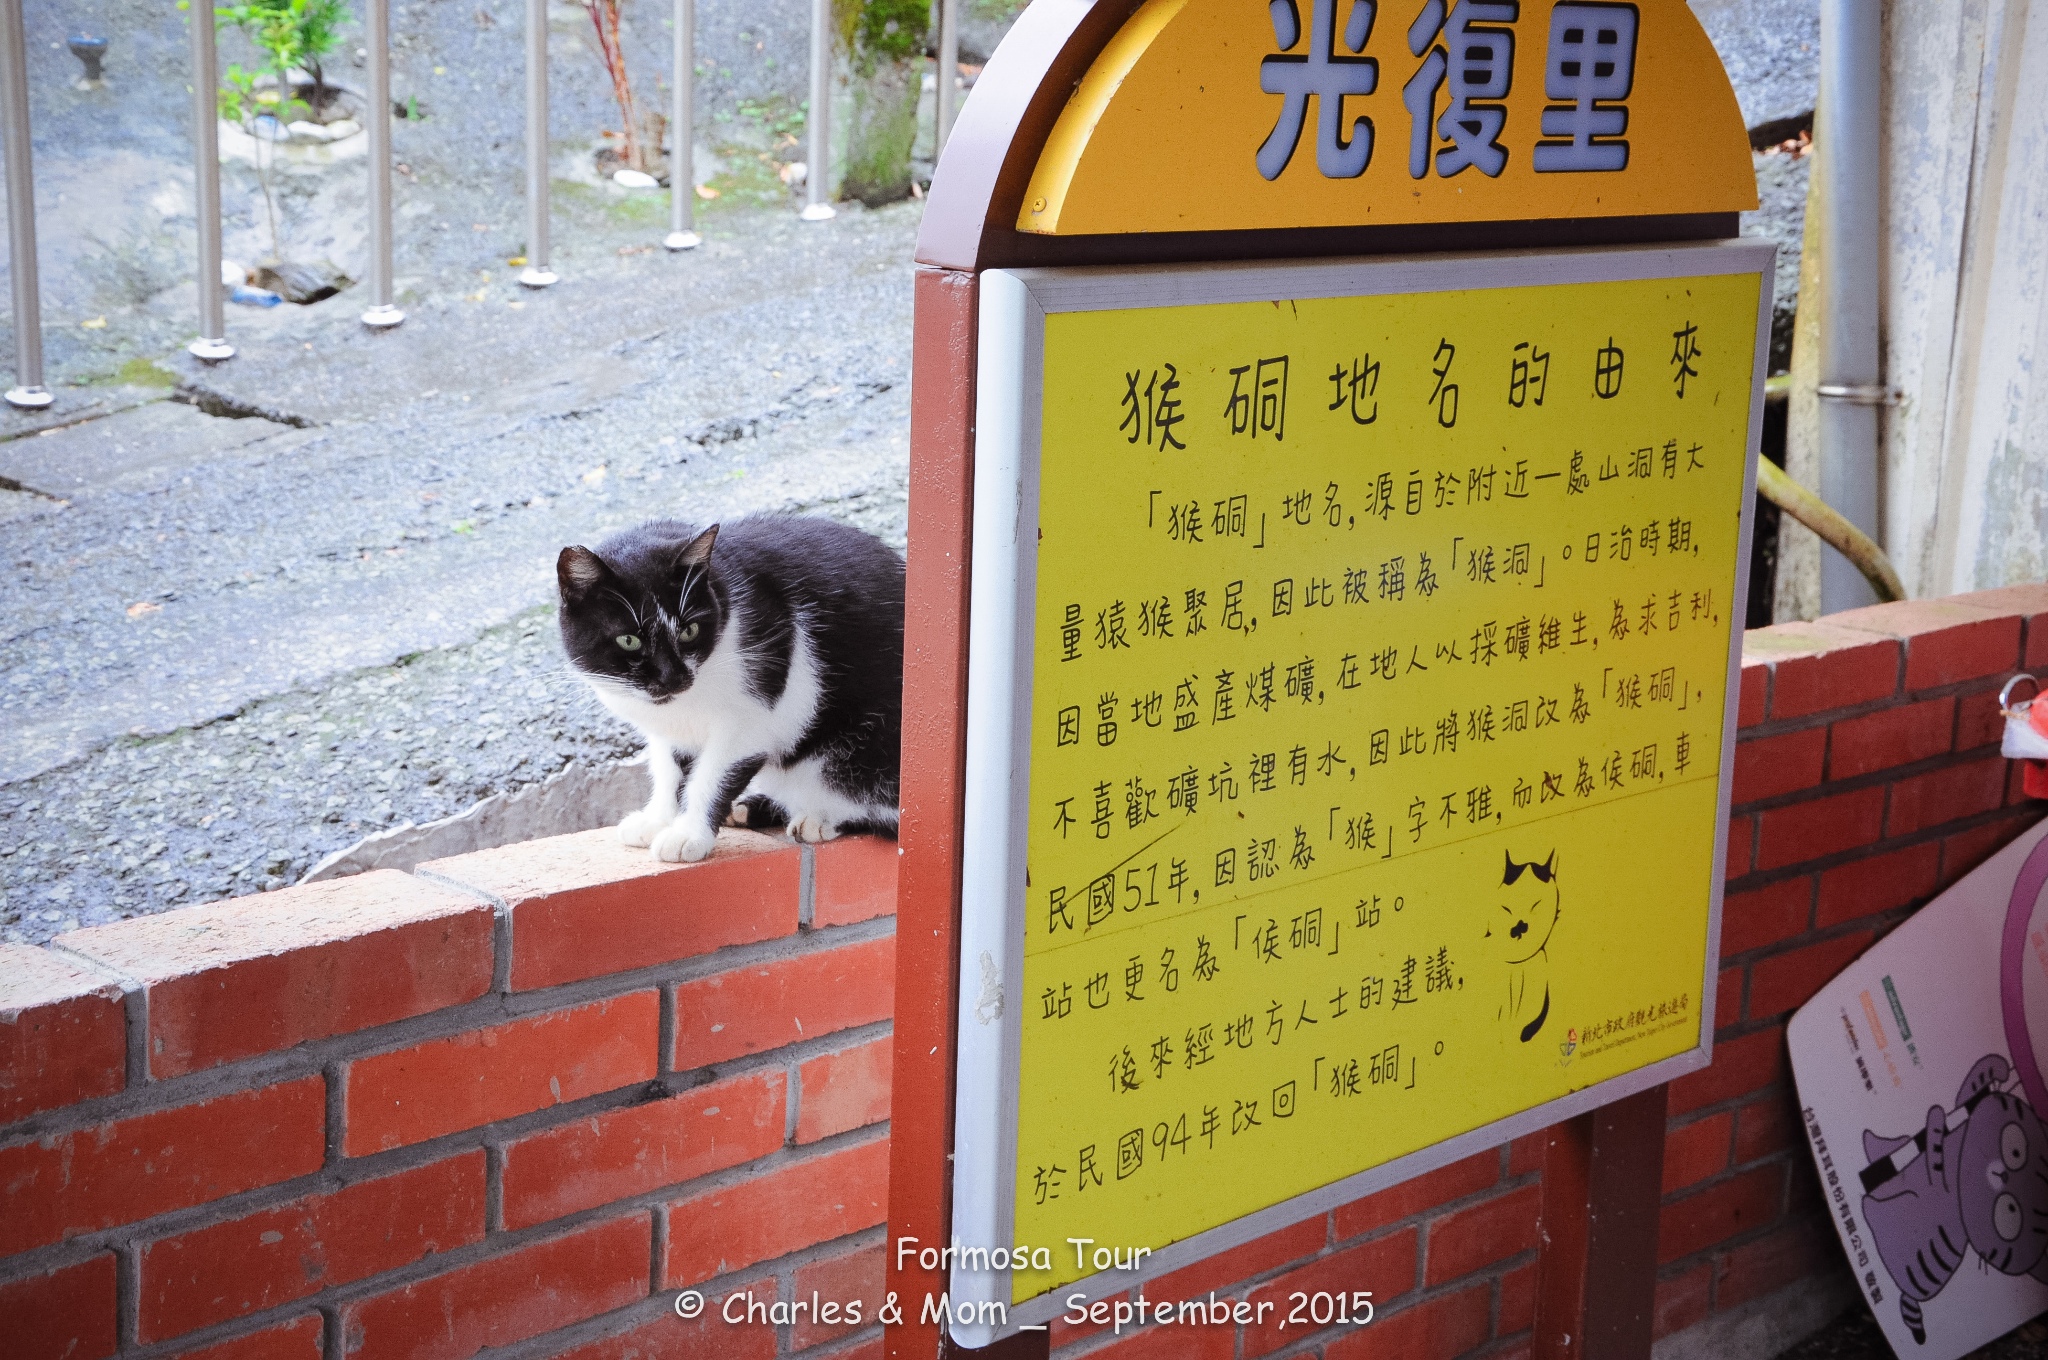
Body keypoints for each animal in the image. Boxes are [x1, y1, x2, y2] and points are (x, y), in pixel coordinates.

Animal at [565, 510, 909, 860]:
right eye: (629, 640)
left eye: (689, 630)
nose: (673, 677)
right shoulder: (668, 730)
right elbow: (668, 769)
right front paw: (658, 819)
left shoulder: (754, 713)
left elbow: (711, 776)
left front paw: (688, 835)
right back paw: (750, 809)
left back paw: (815, 817)